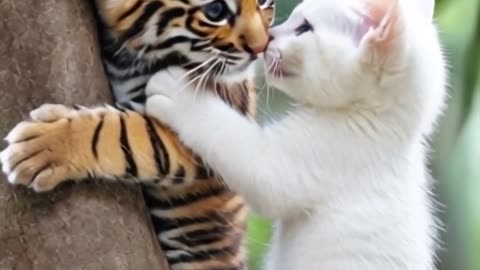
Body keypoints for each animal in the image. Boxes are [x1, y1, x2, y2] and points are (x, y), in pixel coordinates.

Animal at [145, 0, 446, 268]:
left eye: (304, 28)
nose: (269, 36)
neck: (383, 123)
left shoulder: (311, 158)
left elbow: (234, 142)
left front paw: (177, 92)